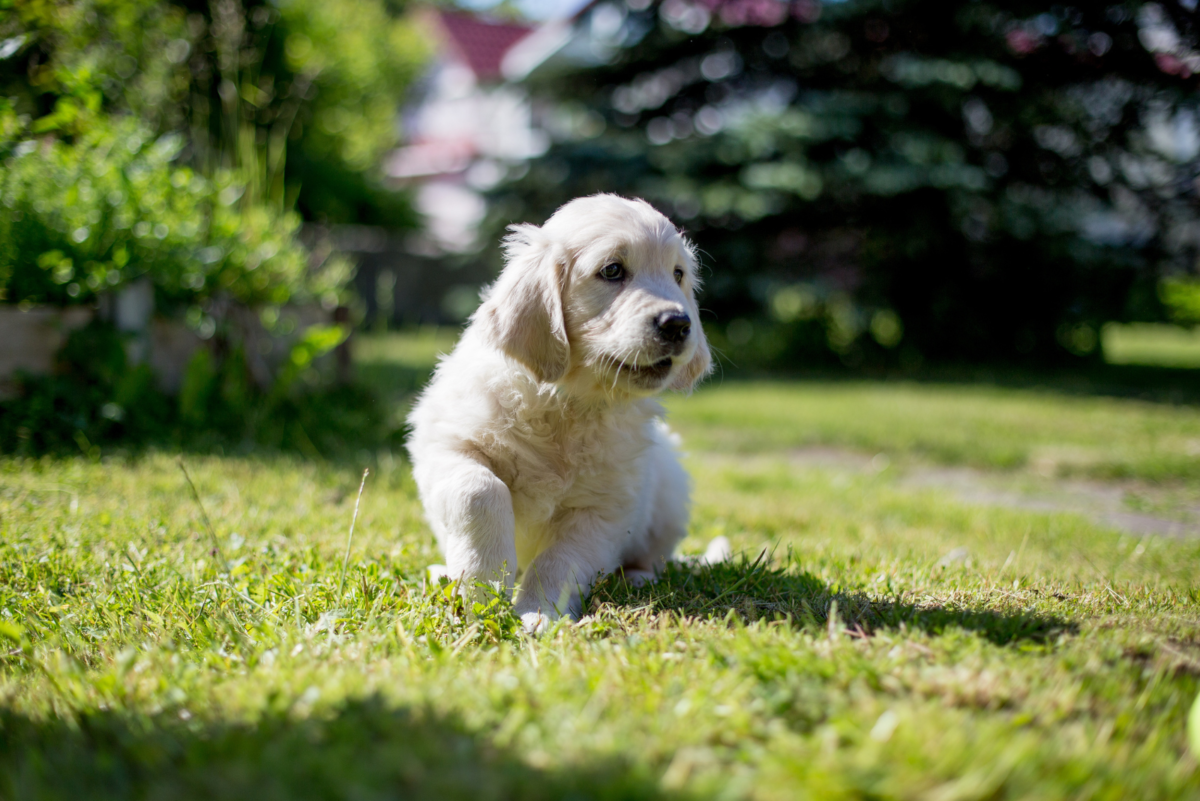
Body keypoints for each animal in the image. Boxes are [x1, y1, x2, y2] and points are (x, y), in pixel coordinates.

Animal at [405, 194, 720, 633]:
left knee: (655, 555)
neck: (568, 405)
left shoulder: (603, 508)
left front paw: (538, 611)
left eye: (678, 275)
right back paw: (443, 573)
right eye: (612, 270)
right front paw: (484, 585)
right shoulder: (447, 445)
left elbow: (560, 560)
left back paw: (639, 577)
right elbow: (479, 491)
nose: (678, 324)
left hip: (670, 489)